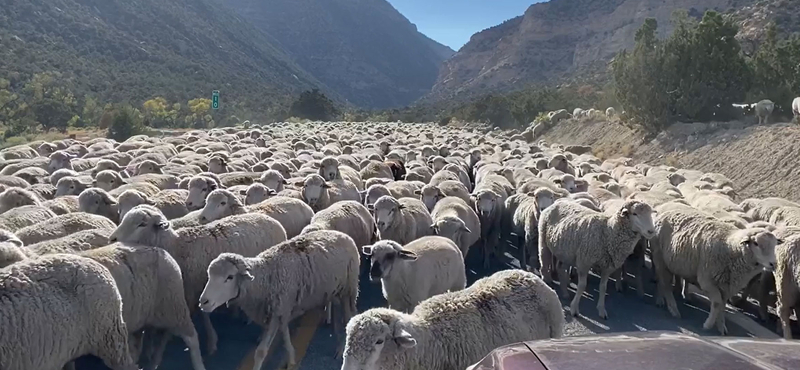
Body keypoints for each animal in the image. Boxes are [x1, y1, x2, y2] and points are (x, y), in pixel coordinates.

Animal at [109, 205, 288, 356]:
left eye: (142, 224)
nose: (112, 239)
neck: (177, 246)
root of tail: (271, 219)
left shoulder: (197, 288)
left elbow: (204, 315)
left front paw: (211, 342)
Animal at [197, 230, 360, 368]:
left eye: (229, 277)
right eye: (209, 275)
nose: (203, 302)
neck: (266, 276)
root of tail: (342, 234)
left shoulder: (277, 310)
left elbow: (261, 351)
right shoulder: (281, 309)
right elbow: (284, 333)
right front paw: (291, 357)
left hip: (349, 289)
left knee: (349, 316)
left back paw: (341, 349)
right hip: (335, 290)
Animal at [648, 205, 780, 336]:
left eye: (775, 245)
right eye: (756, 243)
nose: (773, 264)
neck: (731, 247)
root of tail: (664, 213)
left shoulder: (727, 286)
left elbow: (722, 305)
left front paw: (721, 327)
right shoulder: (707, 282)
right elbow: (716, 303)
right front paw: (708, 325)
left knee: (663, 280)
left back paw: (663, 300)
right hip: (659, 256)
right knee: (664, 282)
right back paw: (671, 307)